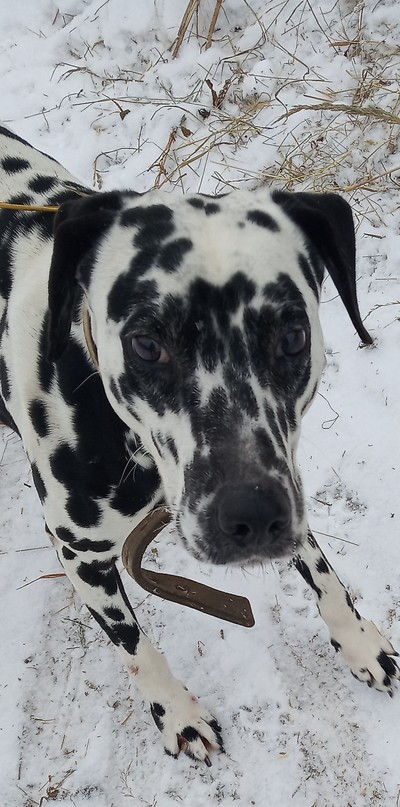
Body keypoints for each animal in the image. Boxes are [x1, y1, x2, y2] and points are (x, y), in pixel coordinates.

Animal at [0, 124, 398, 764]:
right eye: (146, 343)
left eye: (292, 335)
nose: (250, 518)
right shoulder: (78, 552)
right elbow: (137, 650)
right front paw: (179, 714)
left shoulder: (283, 475)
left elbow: (323, 570)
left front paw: (356, 639)